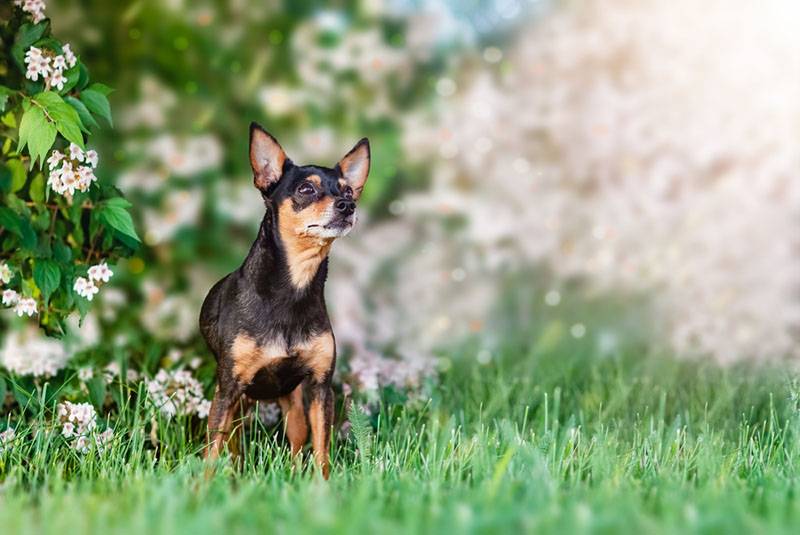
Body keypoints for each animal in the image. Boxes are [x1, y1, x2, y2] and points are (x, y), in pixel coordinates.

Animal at [203, 123, 372, 480]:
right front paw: (201, 488)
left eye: (349, 192)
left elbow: (322, 450)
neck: (293, 289)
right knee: (232, 441)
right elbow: (211, 453)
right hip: (237, 400)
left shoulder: (320, 387)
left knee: (296, 438)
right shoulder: (229, 387)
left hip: (292, 401)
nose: (347, 206)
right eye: (307, 189)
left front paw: (322, 487)